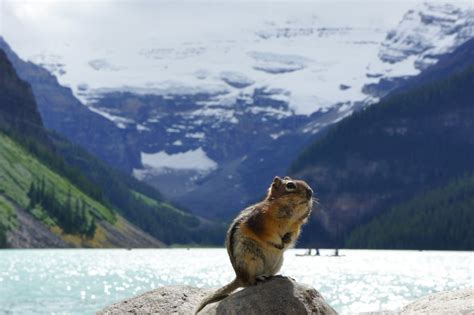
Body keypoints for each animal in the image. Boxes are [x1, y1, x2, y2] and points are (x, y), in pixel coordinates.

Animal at [194, 177, 312, 314]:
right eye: (290, 185)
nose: (310, 192)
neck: (288, 216)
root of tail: (239, 277)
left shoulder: (295, 227)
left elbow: (293, 235)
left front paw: (286, 240)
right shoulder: (260, 223)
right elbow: (268, 235)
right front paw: (277, 243)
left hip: (278, 261)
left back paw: (279, 275)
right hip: (249, 256)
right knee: (249, 282)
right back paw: (259, 277)